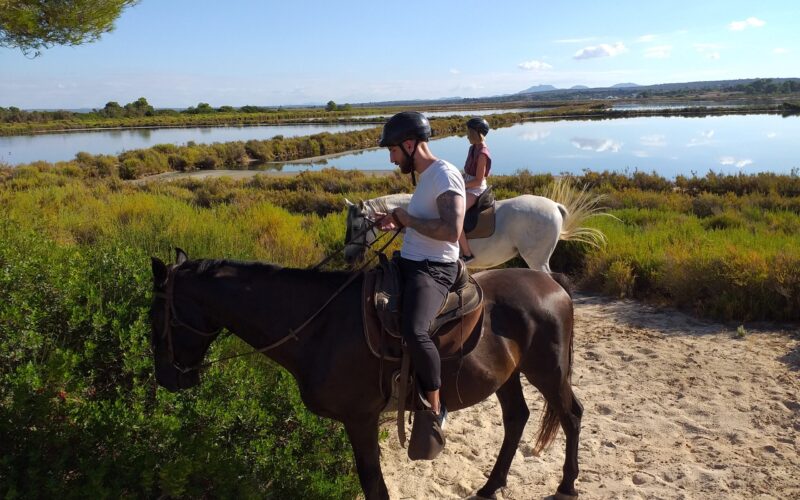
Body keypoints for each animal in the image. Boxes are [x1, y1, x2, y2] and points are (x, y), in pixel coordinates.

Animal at [150, 250, 584, 500]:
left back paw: (566, 486)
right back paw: (491, 486)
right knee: (517, 418)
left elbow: (372, 481)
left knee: (571, 415)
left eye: (156, 315)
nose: (166, 379)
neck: (320, 324)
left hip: (548, 370)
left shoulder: (360, 419)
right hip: (508, 374)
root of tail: (552, 282)